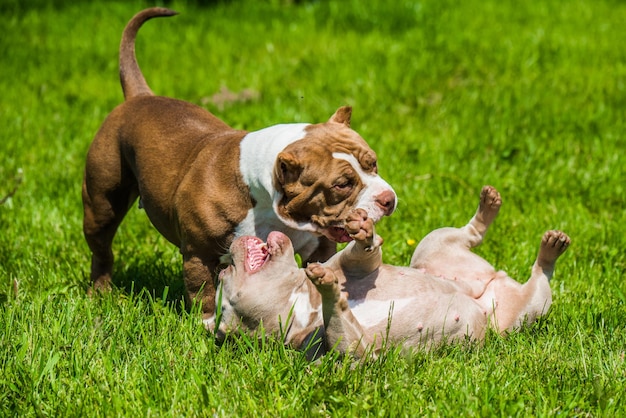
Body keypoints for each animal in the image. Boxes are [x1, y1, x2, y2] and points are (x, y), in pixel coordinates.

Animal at [81, 7, 394, 324]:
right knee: (102, 248)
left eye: (373, 163)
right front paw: (206, 324)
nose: (388, 199)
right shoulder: (199, 255)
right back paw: (101, 292)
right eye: (342, 185)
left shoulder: (319, 247)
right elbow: (204, 293)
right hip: (101, 204)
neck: (266, 200)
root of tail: (140, 96)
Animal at [216, 186, 572, 356]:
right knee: (540, 277)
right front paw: (329, 287)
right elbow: (342, 332)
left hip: (433, 245)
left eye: (226, 276)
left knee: (470, 234)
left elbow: (361, 255)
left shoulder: (352, 266)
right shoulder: (345, 350)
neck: (300, 299)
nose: (223, 263)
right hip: (522, 314)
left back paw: (490, 206)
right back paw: (550, 250)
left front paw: (362, 230)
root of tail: (490, 286)